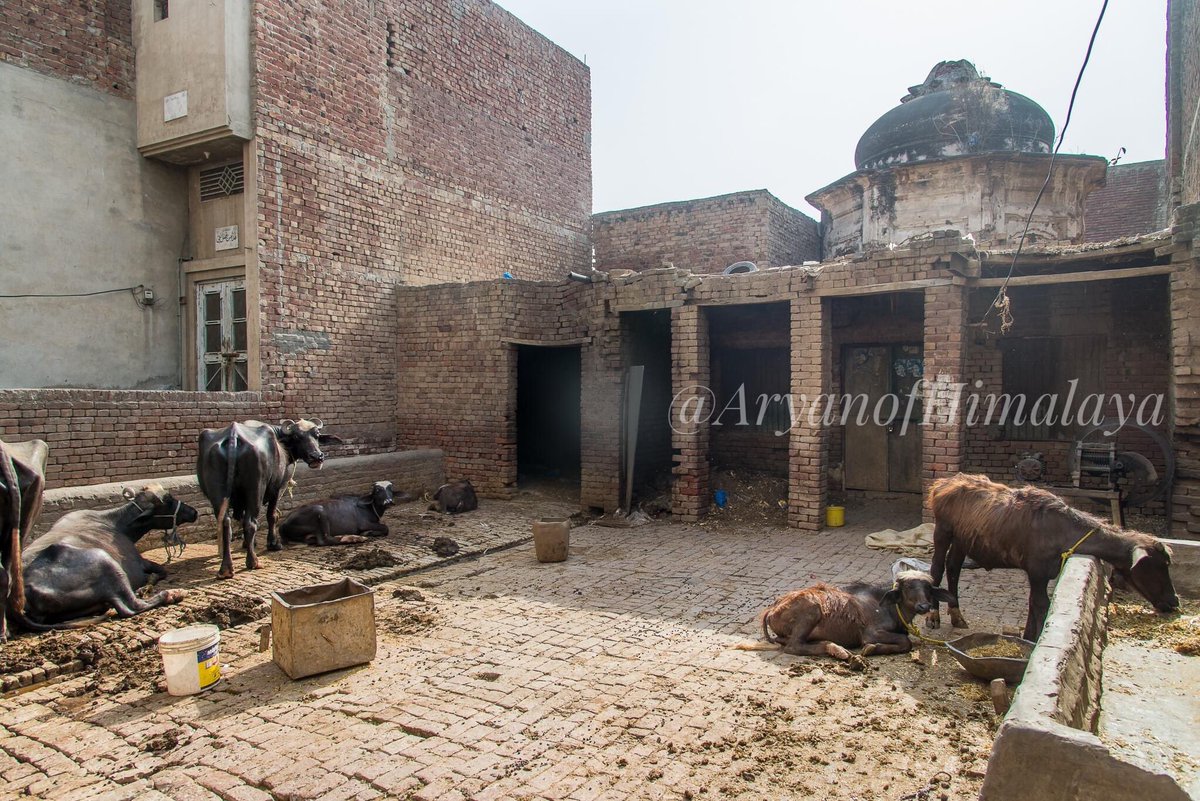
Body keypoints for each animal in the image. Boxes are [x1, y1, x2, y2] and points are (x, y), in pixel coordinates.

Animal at [14, 484, 199, 628]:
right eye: (169, 501)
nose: (194, 512)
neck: (115, 523)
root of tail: (24, 593)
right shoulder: (140, 562)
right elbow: (161, 570)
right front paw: (145, 586)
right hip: (106, 562)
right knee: (131, 607)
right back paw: (173, 593)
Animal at [196, 419, 338, 575]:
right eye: (297, 437)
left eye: (316, 435)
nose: (317, 457)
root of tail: (233, 436)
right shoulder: (278, 488)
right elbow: (272, 515)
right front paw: (273, 544)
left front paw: (248, 543)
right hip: (256, 489)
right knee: (250, 523)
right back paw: (253, 562)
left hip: (217, 493)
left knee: (225, 523)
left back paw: (226, 568)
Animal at [921, 474, 1176, 637]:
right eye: (1158, 565)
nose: (1174, 601)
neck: (1063, 530)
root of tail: (943, 484)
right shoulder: (1037, 571)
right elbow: (1041, 603)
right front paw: (1033, 639)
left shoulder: (1040, 575)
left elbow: (1033, 603)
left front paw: (1027, 636)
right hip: (943, 531)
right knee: (937, 568)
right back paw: (934, 617)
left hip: (962, 540)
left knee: (953, 568)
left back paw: (957, 615)